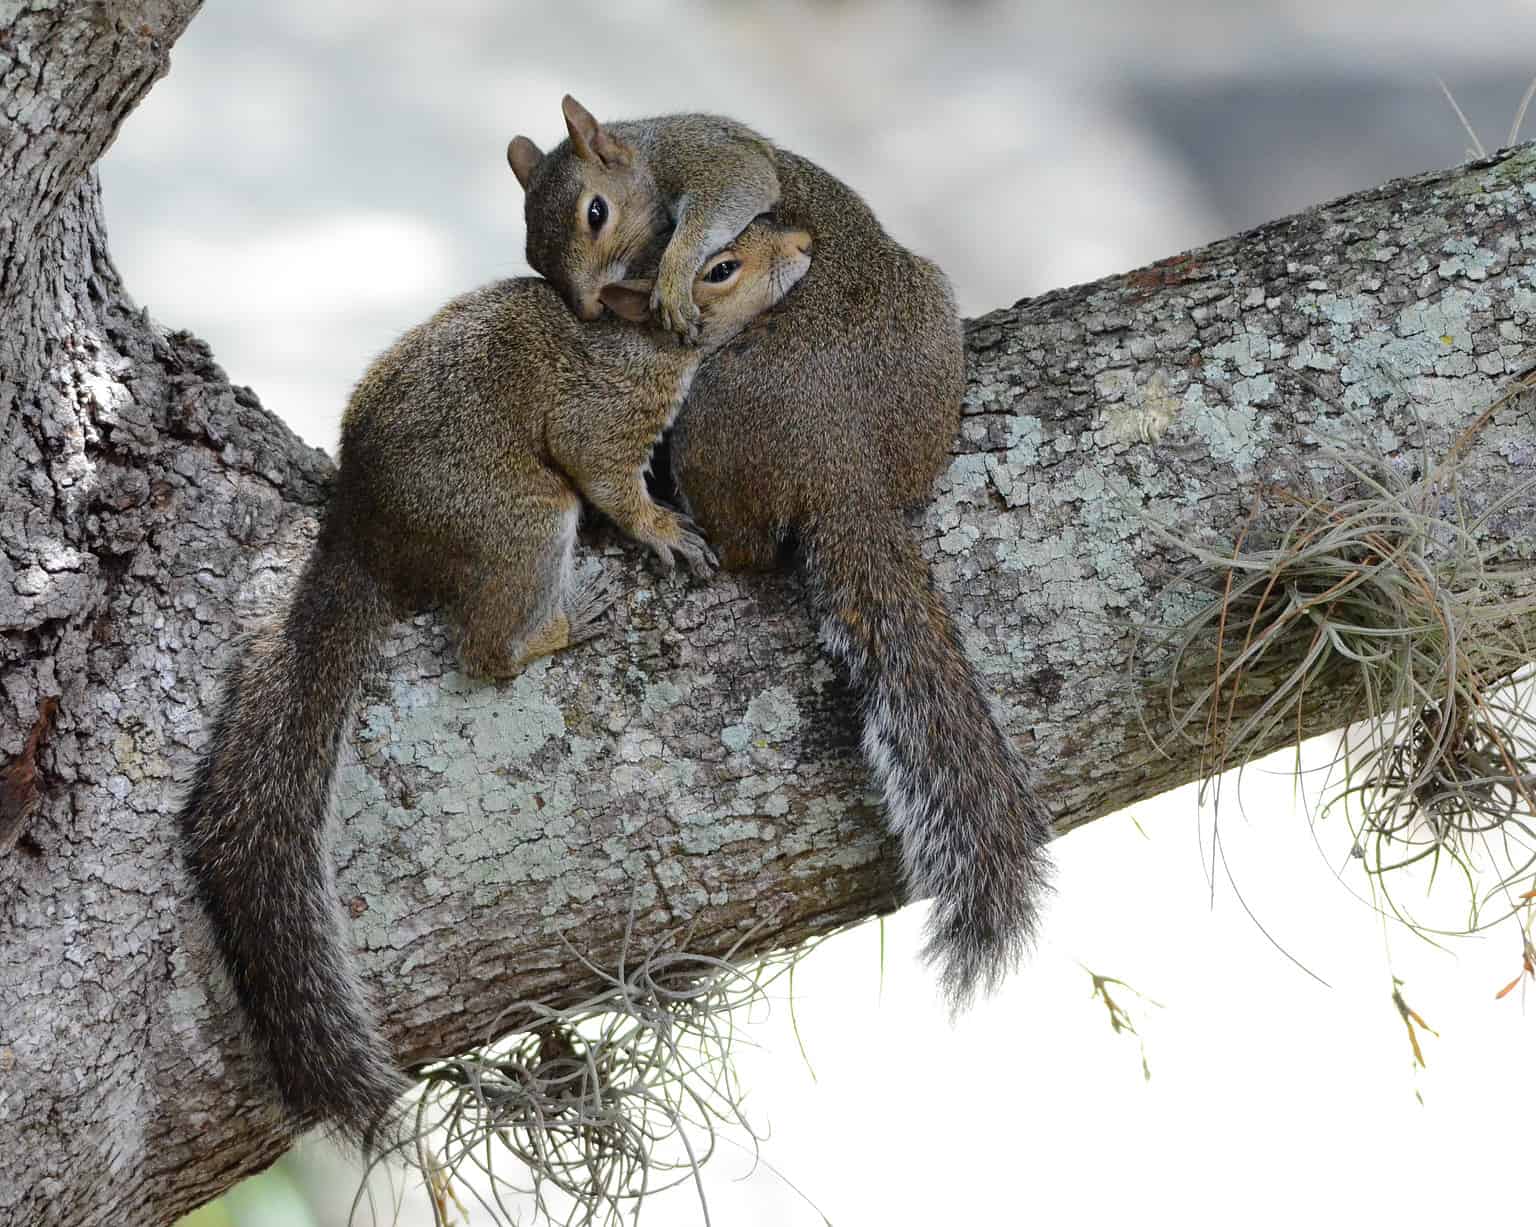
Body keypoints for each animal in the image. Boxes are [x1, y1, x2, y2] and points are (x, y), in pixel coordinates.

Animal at [178, 218, 813, 1143]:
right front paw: (661, 529)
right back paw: (556, 628)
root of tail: (364, 537)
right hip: (521, 518)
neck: (643, 344)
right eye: (722, 267)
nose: (803, 244)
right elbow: (609, 479)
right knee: (484, 646)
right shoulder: (602, 416)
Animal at [510, 98, 1055, 1011]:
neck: (646, 154)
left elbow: (740, 180)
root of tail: (843, 462)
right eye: (528, 248)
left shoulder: (705, 151)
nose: (584, 309)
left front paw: (671, 275)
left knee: (744, 550)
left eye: (595, 212)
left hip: (708, 421)